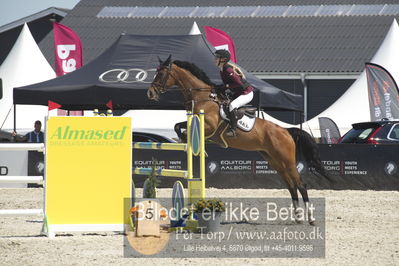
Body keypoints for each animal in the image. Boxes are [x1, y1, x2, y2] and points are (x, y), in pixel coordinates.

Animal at [148, 55, 332, 225]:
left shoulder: (208, 127)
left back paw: (310, 219)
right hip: (274, 160)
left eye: (161, 74)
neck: (203, 96)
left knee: (301, 185)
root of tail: (285, 131)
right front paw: (184, 140)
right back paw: (298, 218)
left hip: (287, 160)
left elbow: (188, 133)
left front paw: (199, 148)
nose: (150, 93)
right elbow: (177, 126)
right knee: (291, 185)